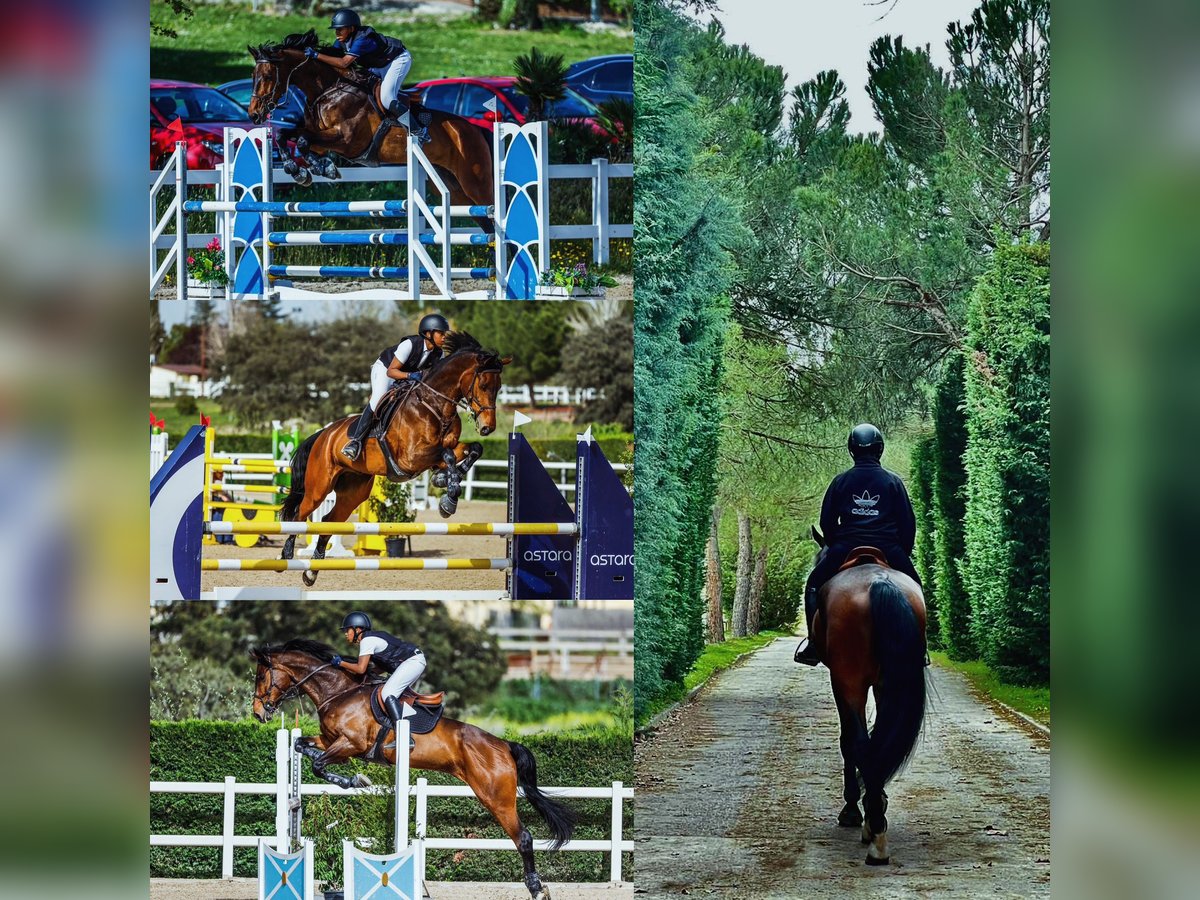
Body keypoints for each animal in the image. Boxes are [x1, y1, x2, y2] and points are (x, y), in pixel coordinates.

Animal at [246, 30, 494, 232]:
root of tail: (475, 129)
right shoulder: (319, 137)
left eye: (267, 76)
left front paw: (319, 168)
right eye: (252, 76)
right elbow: (288, 136)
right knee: (486, 225)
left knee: (493, 212)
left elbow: (303, 141)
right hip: (453, 187)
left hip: (475, 182)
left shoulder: (347, 141)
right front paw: (304, 169)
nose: (254, 114)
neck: (327, 91)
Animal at [251, 640, 575, 900]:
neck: (338, 692)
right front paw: (343, 774)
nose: (258, 713)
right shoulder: (333, 742)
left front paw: (357, 780)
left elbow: (320, 765)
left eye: (261, 676)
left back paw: (536, 888)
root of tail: (504, 745)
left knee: (523, 838)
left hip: (496, 798)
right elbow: (301, 746)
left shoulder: (350, 744)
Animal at [280, 332, 510, 586]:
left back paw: (312, 570)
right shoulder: (411, 458)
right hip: (319, 487)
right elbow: (447, 455)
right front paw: (447, 497)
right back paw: (286, 555)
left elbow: (472, 450)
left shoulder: (441, 450)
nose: (488, 427)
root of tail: (323, 434)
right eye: (483, 384)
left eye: (500, 387)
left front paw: (445, 483)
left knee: (330, 519)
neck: (435, 405)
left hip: (354, 491)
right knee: (299, 513)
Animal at [806, 528, 927, 865]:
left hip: (849, 681)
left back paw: (874, 835)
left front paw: (853, 810)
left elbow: (849, 740)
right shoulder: (884, 684)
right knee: (878, 741)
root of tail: (879, 583)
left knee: (859, 742)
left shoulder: (845, 684)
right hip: (892, 680)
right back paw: (876, 821)